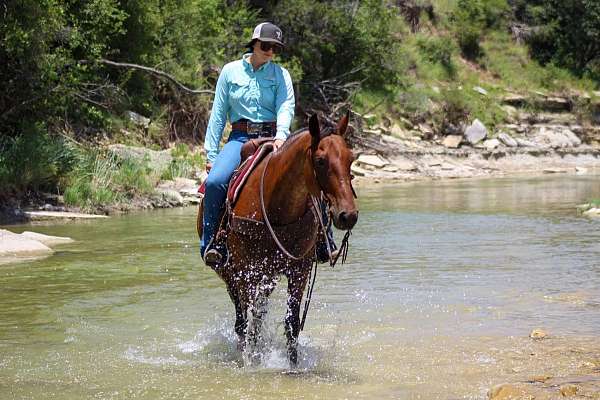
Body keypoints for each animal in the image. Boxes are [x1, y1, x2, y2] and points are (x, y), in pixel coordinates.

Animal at [197, 112, 358, 366]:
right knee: (241, 319)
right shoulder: (246, 273)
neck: (278, 208)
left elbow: (291, 325)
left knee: (258, 315)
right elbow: (248, 324)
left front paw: (293, 366)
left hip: (268, 276)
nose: (348, 215)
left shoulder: (299, 271)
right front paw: (249, 363)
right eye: (320, 160)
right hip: (228, 273)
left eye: (351, 159)